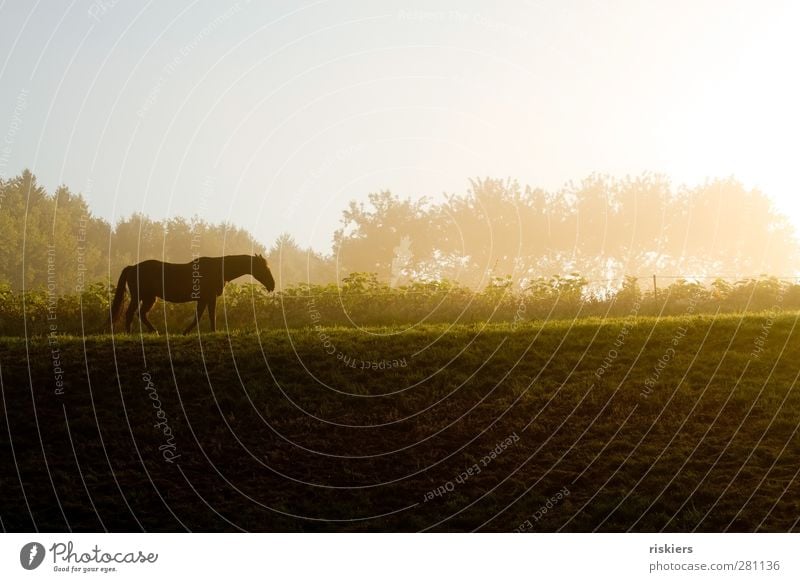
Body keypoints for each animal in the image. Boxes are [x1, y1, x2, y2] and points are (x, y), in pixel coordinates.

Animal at [111, 254, 276, 336]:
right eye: (264, 268)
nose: (272, 285)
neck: (218, 269)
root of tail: (132, 267)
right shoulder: (209, 297)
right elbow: (208, 315)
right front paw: (211, 331)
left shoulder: (204, 299)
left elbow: (199, 316)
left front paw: (187, 332)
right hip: (139, 296)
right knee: (130, 313)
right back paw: (129, 333)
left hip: (149, 298)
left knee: (141, 314)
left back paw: (153, 331)